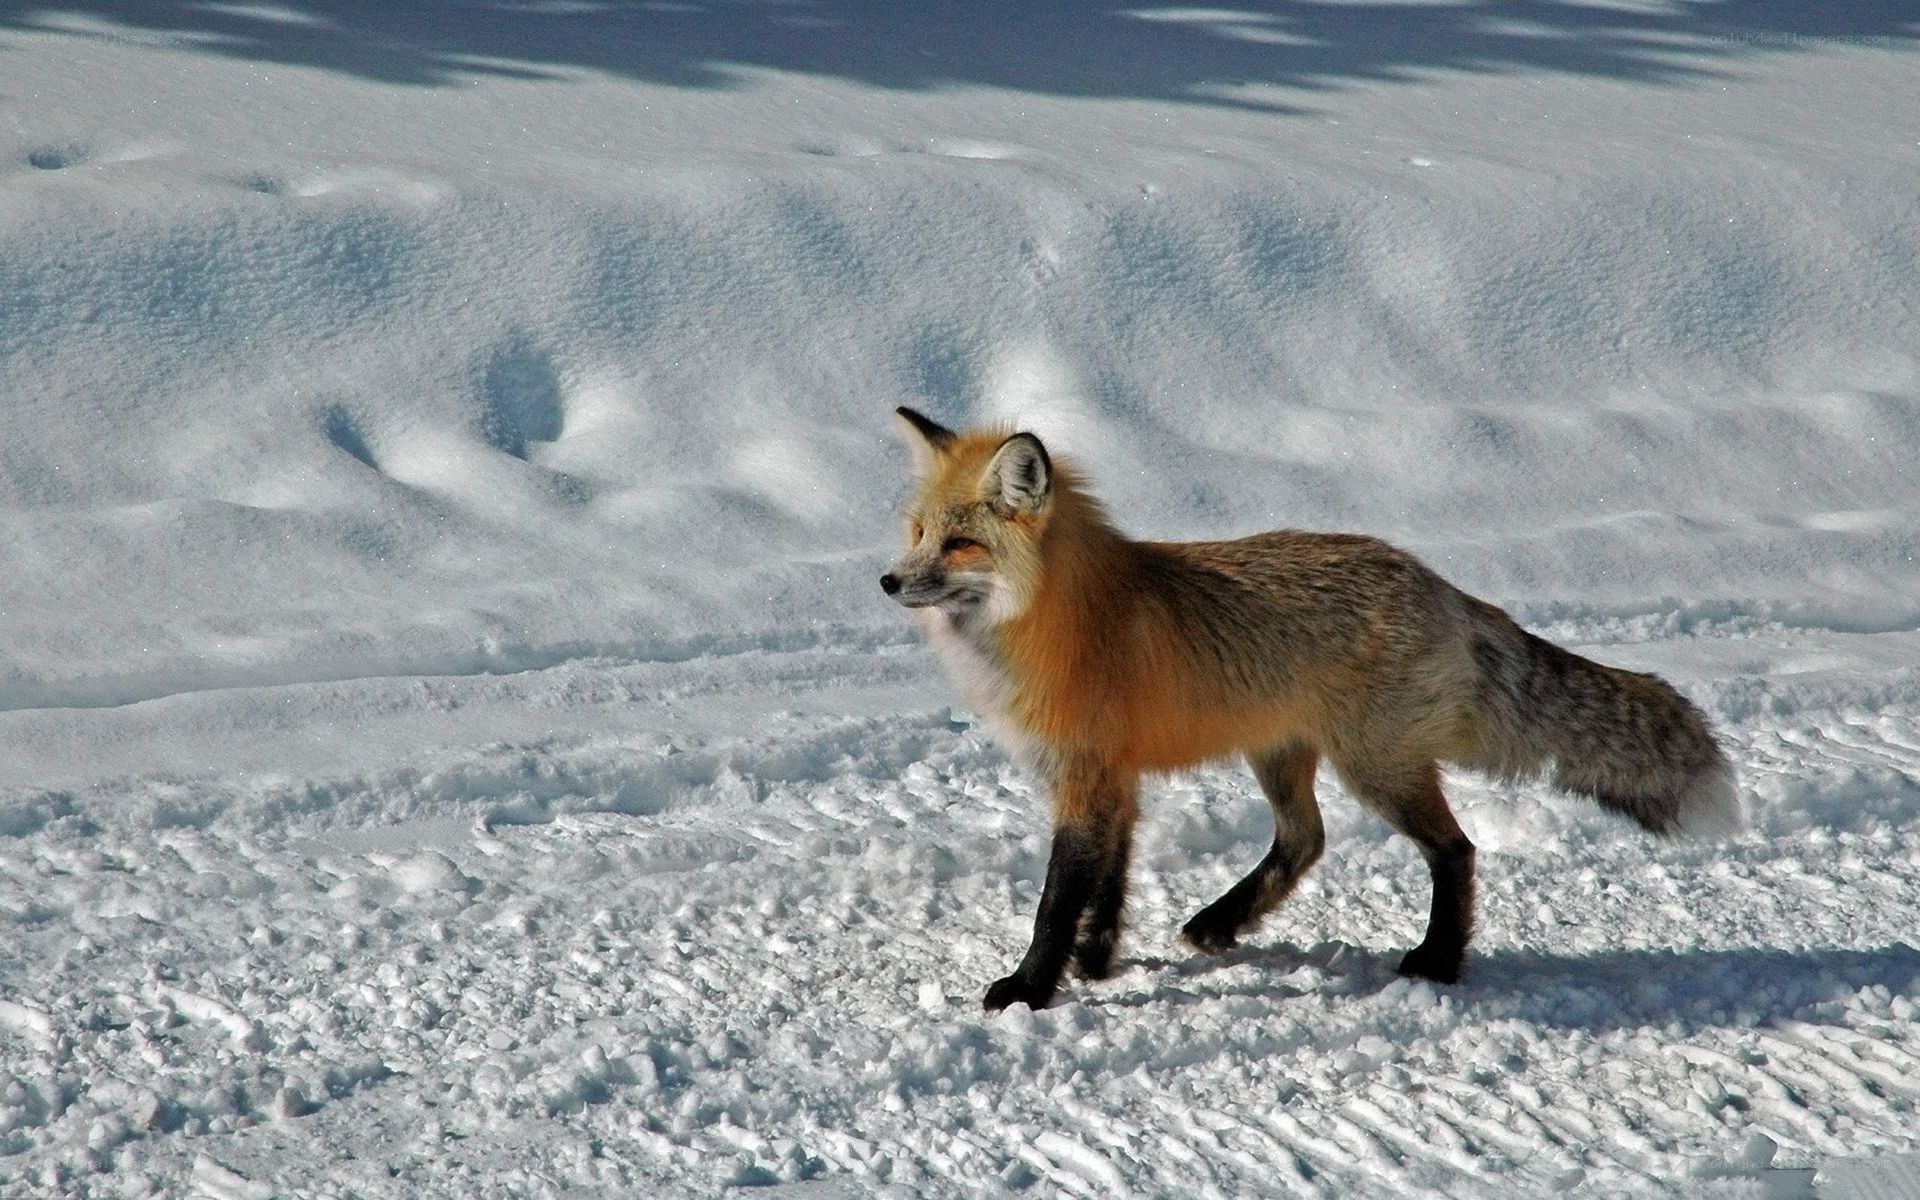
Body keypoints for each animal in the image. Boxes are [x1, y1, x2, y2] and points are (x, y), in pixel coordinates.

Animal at [881, 407, 1739, 1012]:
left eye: (959, 544)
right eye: (918, 533)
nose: (888, 582)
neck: (1061, 618)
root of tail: (1439, 584)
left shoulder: (1086, 778)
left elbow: (1057, 901)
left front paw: (1030, 988)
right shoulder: (1110, 777)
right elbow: (1109, 885)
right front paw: (1096, 962)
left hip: (1375, 767)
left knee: (1454, 850)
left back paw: (1437, 962)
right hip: (1282, 754)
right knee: (1306, 839)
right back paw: (1221, 922)